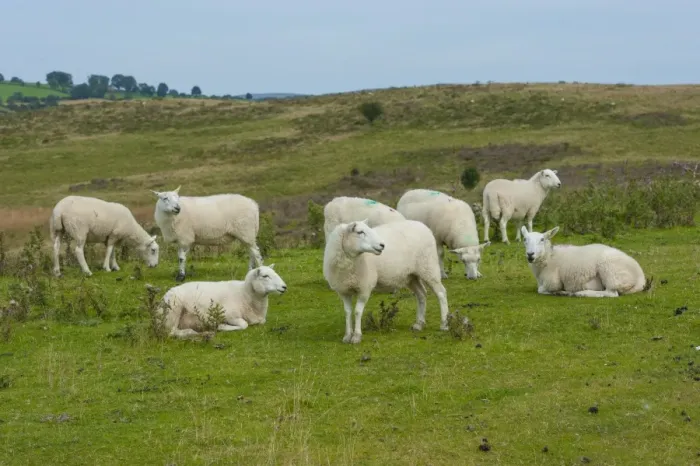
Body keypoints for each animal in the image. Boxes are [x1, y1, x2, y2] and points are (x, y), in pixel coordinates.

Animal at [157, 264, 287, 338]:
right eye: (265, 276)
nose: (284, 287)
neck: (244, 294)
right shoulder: (229, 315)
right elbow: (244, 324)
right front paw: (221, 326)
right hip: (173, 312)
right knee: (172, 332)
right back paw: (194, 333)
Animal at [323, 219, 451, 344]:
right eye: (360, 232)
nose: (382, 245)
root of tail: (423, 226)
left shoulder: (364, 287)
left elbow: (358, 311)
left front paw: (356, 336)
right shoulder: (343, 290)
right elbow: (348, 312)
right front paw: (347, 336)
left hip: (428, 267)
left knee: (441, 293)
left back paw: (444, 324)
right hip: (411, 275)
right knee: (421, 294)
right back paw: (419, 324)